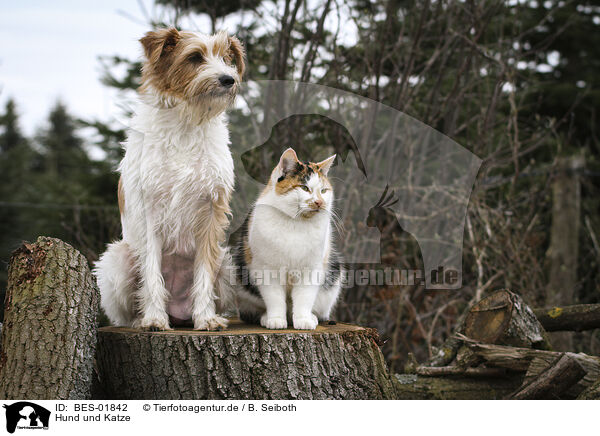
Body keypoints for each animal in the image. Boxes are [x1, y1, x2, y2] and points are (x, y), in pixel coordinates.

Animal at [94, 27, 244, 330]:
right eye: (195, 57)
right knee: (125, 312)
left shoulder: (211, 212)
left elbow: (203, 273)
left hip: (226, 261)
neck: (186, 123)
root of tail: (178, 312)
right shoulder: (149, 212)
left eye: (226, 58)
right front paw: (154, 318)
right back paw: (141, 319)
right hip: (117, 259)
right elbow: (152, 272)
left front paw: (206, 317)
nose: (229, 79)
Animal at [236, 148, 346, 328]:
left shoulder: (311, 269)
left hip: (334, 273)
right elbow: (274, 298)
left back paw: (312, 317)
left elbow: (304, 298)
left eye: (324, 191)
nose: (319, 202)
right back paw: (266, 317)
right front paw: (275, 320)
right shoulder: (267, 269)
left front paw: (303, 320)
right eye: (304, 188)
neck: (296, 223)